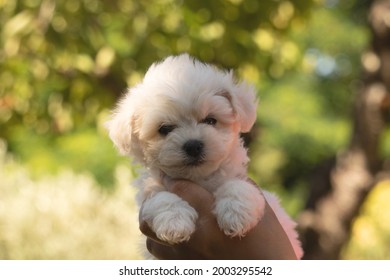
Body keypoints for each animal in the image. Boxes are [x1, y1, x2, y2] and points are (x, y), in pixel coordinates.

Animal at [107, 53, 304, 260]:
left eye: (210, 120)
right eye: (165, 129)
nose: (193, 145)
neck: (199, 178)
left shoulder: (241, 180)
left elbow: (237, 186)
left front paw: (236, 213)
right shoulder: (148, 194)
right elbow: (161, 198)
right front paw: (174, 222)